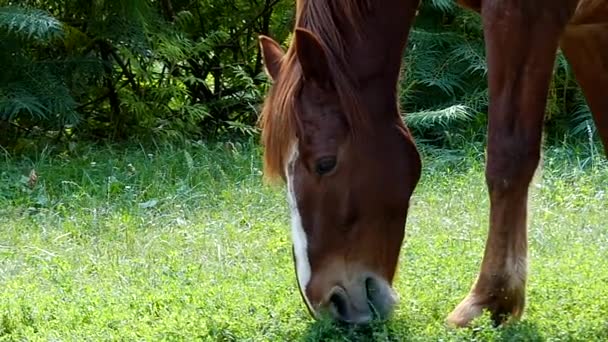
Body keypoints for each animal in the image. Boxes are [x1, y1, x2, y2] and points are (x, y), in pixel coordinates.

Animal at [258, 0, 608, 328]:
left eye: (325, 163)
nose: (329, 304)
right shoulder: (585, 29)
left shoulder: (522, 15)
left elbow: (507, 156)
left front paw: (489, 299)